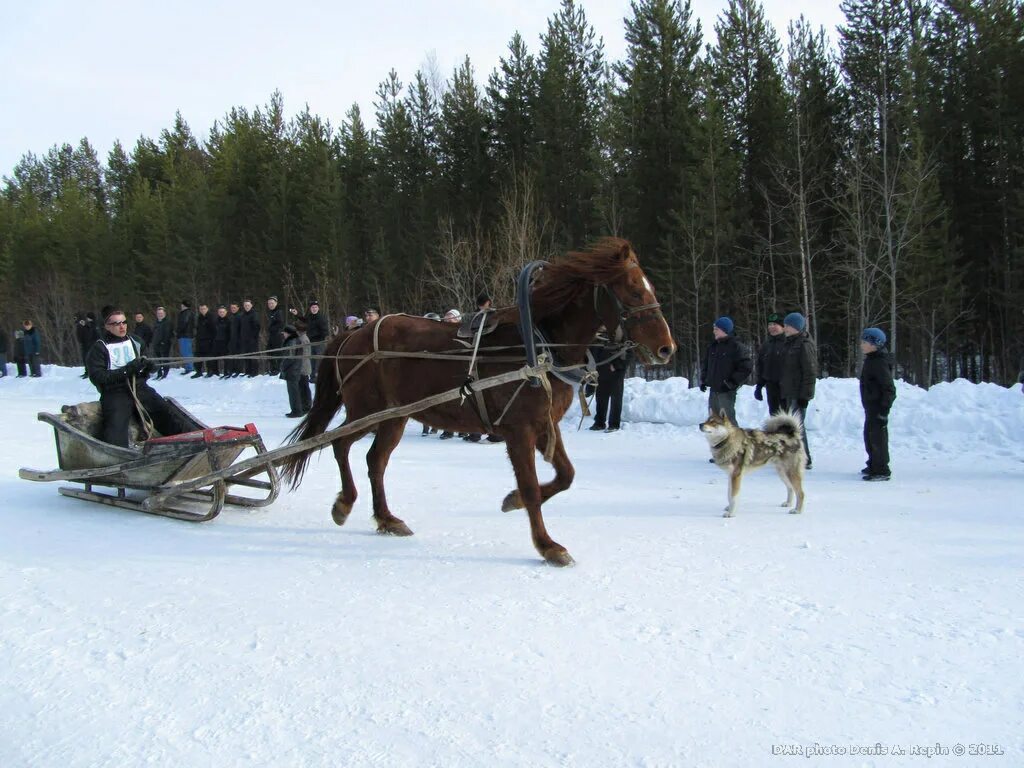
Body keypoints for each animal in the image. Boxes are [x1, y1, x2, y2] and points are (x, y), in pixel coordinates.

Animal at [284, 237, 675, 569]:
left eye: (650, 288)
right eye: (634, 290)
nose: (667, 348)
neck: (539, 343)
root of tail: (353, 334)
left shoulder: (545, 425)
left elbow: (566, 475)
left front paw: (512, 500)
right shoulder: (519, 430)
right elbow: (533, 486)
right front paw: (547, 544)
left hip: (395, 416)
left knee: (374, 460)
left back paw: (386, 518)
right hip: (366, 411)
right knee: (340, 445)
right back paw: (344, 503)